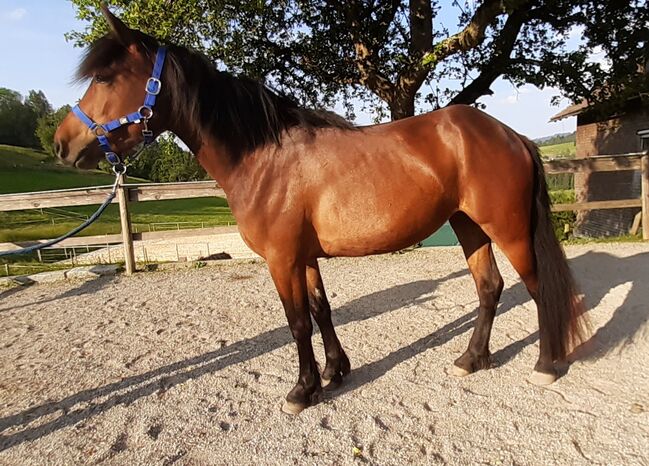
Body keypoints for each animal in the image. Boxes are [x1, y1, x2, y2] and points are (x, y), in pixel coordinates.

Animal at [53, 6, 584, 416]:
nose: (62, 144)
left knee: (537, 289)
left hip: (507, 229)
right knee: (489, 288)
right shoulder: (305, 257)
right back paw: (471, 359)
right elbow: (320, 310)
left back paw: (544, 366)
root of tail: (511, 135)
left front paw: (301, 390)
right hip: (467, 225)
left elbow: (297, 323)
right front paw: (334, 371)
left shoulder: (282, 259)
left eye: (104, 77)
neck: (262, 157)